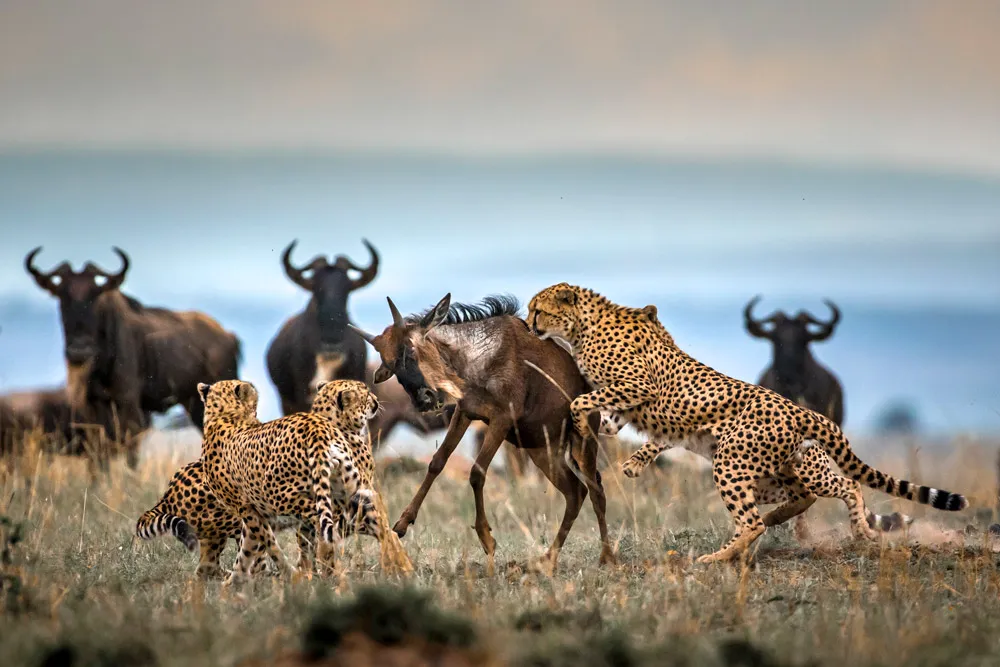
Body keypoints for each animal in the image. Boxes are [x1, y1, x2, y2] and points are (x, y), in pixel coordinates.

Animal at [196, 378, 378, 588]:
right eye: (366, 395)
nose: (375, 401)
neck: (225, 414)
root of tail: (315, 425)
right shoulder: (252, 511)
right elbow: (248, 549)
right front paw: (233, 583)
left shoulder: (248, 510)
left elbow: (266, 545)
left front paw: (288, 574)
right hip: (345, 488)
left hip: (283, 497)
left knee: (326, 523)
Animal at [528, 284, 964, 568]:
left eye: (539, 310)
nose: (530, 326)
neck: (584, 325)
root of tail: (801, 411)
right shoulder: (630, 407)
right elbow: (622, 425)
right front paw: (630, 458)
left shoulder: (639, 386)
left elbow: (583, 401)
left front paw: (581, 423)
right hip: (780, 472)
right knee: (824, 491)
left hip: (733, 463)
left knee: (770, 515)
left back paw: (718, 556)